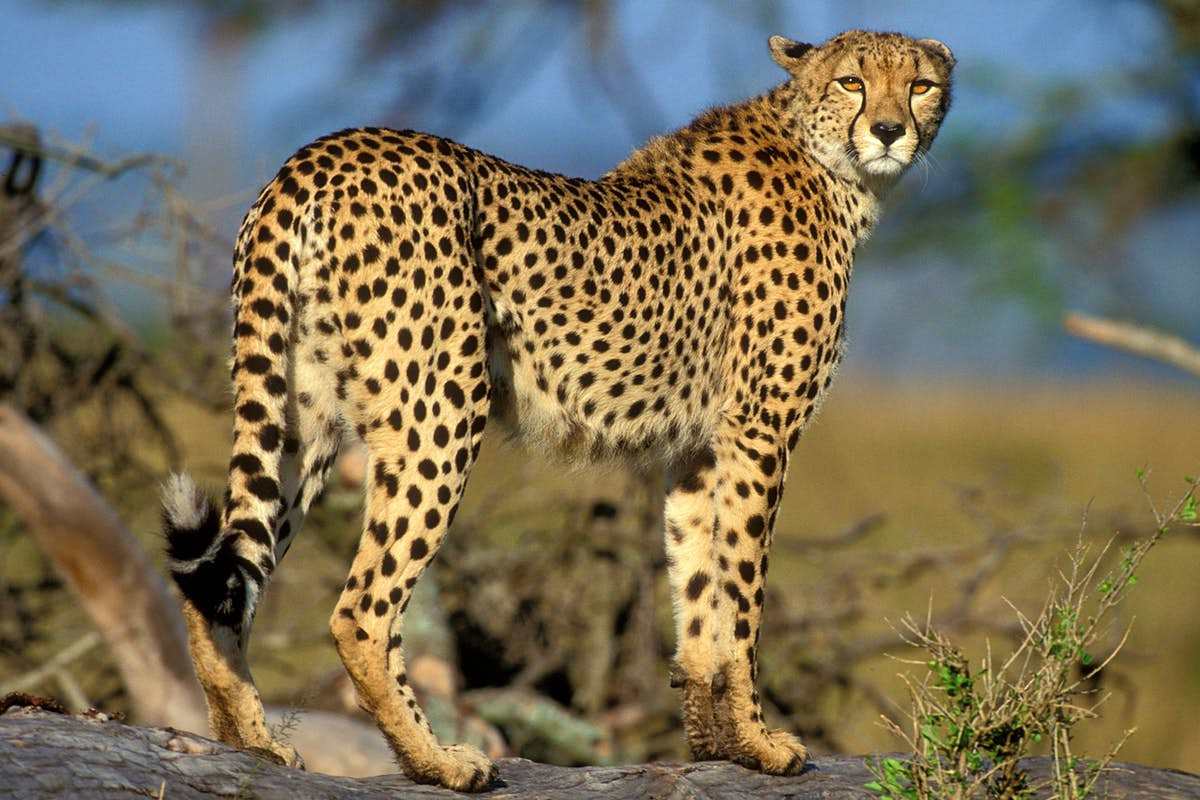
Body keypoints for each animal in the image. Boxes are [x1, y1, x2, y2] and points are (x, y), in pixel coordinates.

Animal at [162, 29, 953, 791]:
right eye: (852, 81)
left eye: (920, 85)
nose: (889, 130)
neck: (830, 164)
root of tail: (322, 153)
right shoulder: (759, 433)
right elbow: (743, 600)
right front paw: (761, 743)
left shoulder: (699, 449)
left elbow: (699, 592)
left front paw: (716, 744)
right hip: (442, 406)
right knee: (361, 610)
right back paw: (437, 761)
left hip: (302, 417)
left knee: (227, 579)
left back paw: (251, 742)